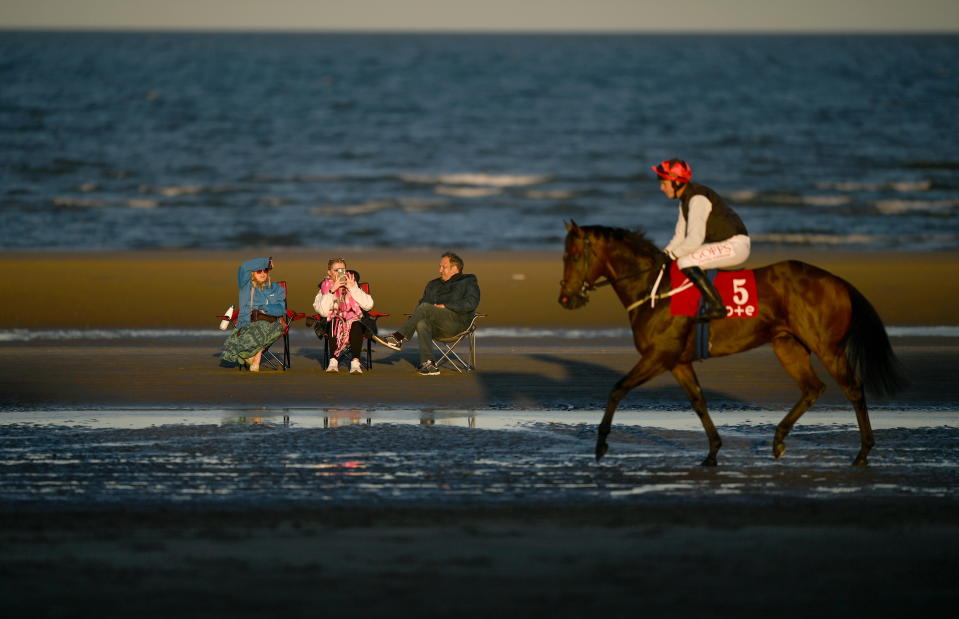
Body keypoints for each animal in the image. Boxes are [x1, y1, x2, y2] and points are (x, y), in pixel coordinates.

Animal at [560, 222, 904, 464]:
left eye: (574, 256)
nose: (565, 298)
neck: (654, 289)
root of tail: (838, 281)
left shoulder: (658, 356)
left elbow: (618, 389)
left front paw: (601, 444)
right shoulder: (678, 362)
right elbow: (698, 401)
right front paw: (713, 451)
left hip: (827, 346)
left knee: (853, 388)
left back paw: (863, 452)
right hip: (787, 345)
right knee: (812, 388)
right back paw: (779, 440)